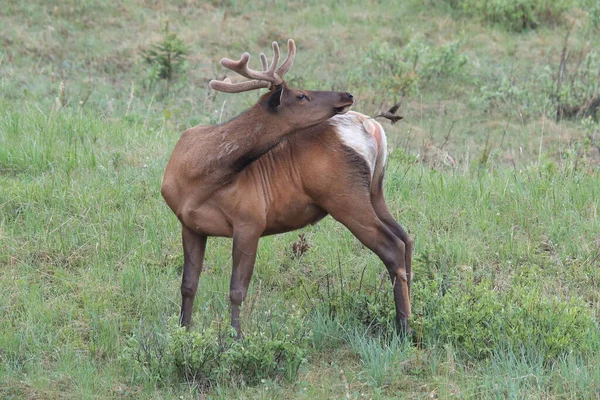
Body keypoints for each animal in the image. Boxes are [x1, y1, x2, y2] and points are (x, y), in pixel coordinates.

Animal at [159, 38, 412, 338]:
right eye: (301, 95)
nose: (347, 94)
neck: (198, 177)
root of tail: (373, 128)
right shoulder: (190, 224)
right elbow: (188, 284)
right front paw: (183, 331)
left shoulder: (251, 219)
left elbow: (237, 290)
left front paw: (236, 338)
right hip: (374, 192)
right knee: (406, 238)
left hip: (344, 196)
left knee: (392, 245)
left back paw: (404, 326)